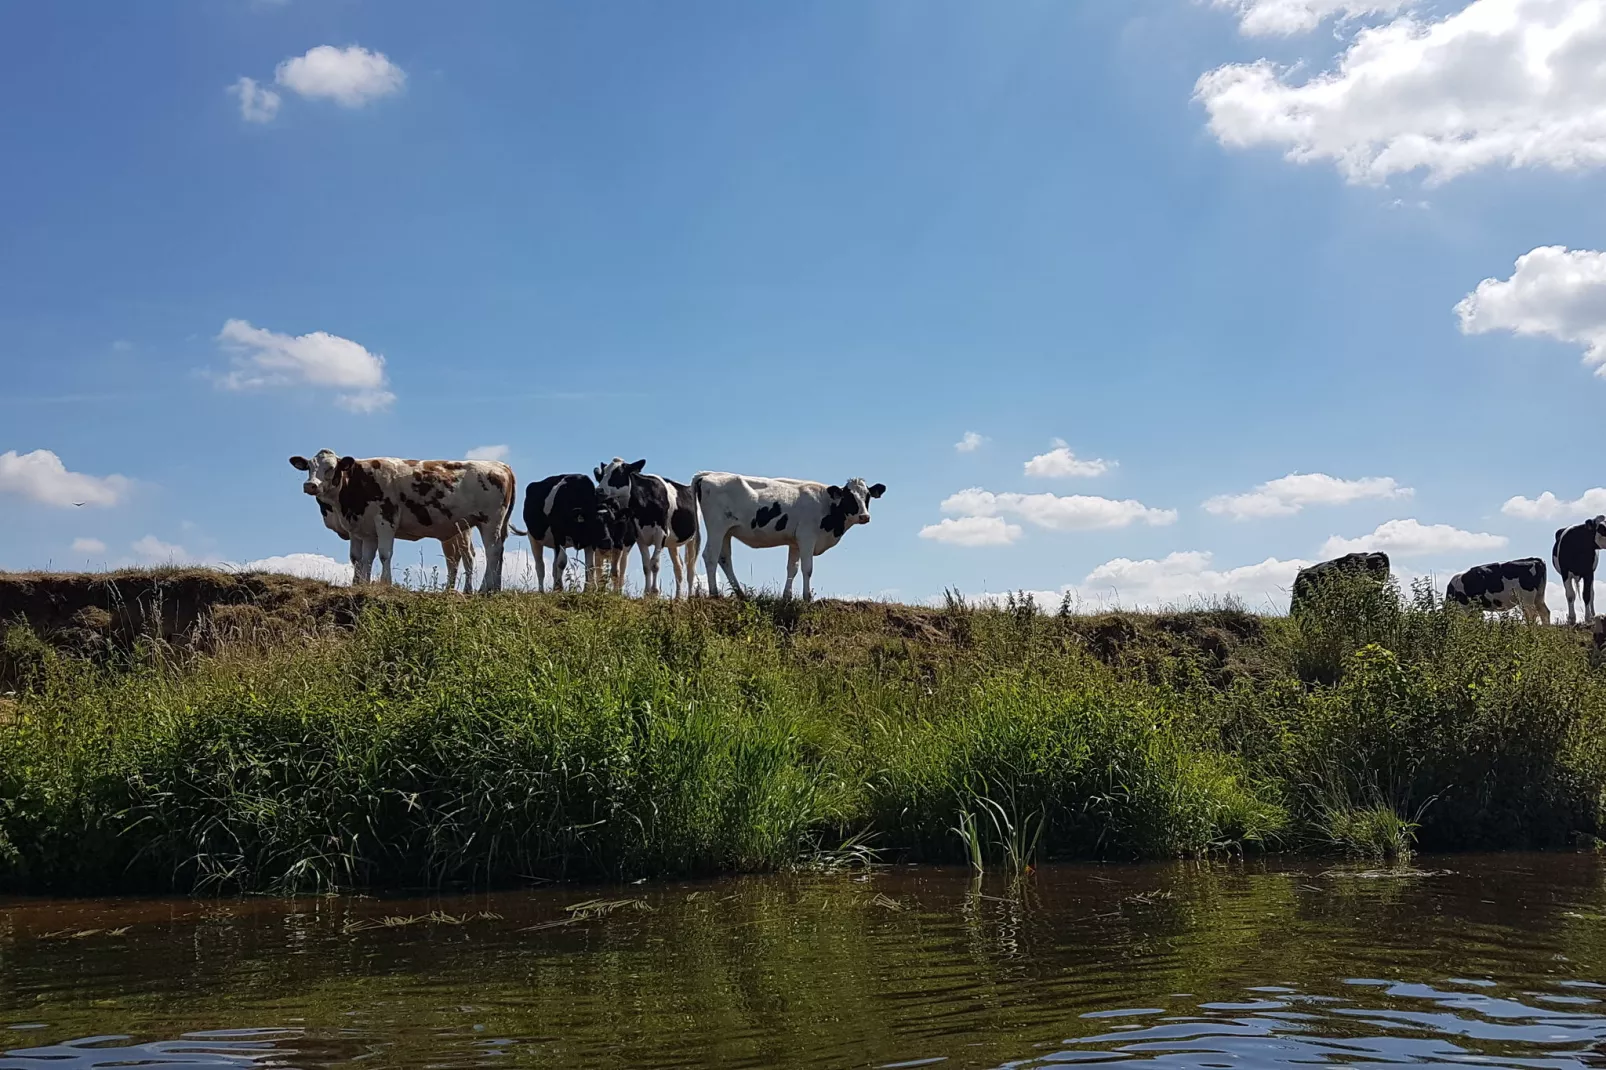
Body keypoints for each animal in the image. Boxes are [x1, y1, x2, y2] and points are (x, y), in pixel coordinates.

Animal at [289, 443, 513, 588]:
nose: (310, 485)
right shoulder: (363, 528)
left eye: (331, 468)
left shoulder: (385, 519)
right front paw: (360, 584)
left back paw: (485, 588)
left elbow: (384, 554)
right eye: (309, 467)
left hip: (489, 521)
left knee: (492, 552)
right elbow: (360, 558)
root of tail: (501, 466)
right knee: (485, 554)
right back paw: (492, 589)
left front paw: (385, 583)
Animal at [594, 453, 700, 594]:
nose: (599, 490)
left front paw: (654, 592)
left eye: (618, 473)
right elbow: (646, 566)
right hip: (672, 542)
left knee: (690, 568)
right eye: (603, 473)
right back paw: (678, 597)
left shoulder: (661, 534)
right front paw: (646, 593)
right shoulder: (640, 536)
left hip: (693, 539)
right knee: (678, 566)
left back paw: (689, 596)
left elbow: (654, 564)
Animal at [693, 472, 886, 600]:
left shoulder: (795, 542)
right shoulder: (807, 537)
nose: (864, 516)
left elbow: (792, 568)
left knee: (724, 558)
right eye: (848, 497)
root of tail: (709, 474)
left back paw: (741, 594)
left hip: (727, 531)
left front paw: (787, 597)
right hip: (717, 527)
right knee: (710, 556)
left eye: (867, 496)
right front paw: (807, 598)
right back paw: (714, 593)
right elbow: (807, 569)